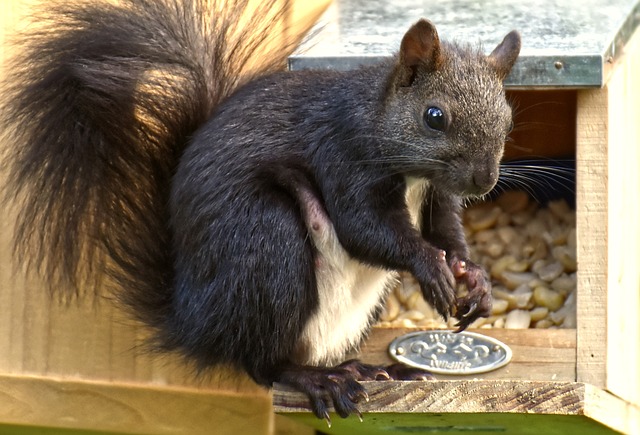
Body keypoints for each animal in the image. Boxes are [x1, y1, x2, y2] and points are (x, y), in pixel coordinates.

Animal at [0, 0, 520, 424]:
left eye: (509, 117)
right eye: (435, 116)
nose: (484, 180)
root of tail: (195, 320)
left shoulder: (438, 196)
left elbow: (447, 232)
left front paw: (474, 278)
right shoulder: (342, 156)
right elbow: (364, 228)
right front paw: (431, 268)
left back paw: (367, 369)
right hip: (268, 243)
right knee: (263, 363)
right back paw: (318, 379)